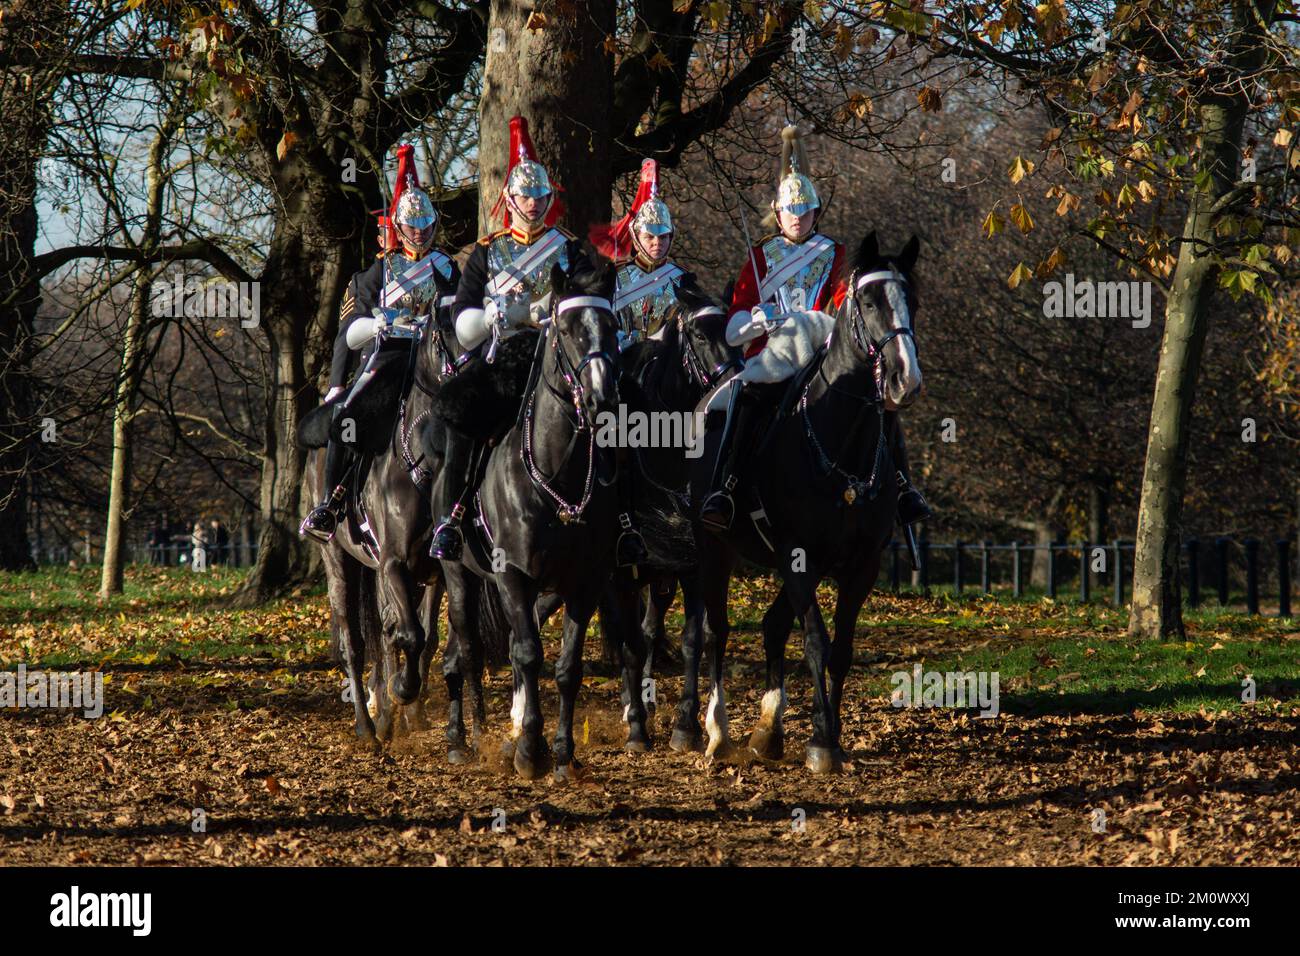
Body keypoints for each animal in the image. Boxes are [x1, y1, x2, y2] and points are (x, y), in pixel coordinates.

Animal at [436, 251, 650, 780]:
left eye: (612, 327)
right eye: (569, 328)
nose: (602, 400)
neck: (559, 475)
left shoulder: (585, 581)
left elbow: (567, 667)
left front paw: (562, 753)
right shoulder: (513, 574)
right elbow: (529, 655)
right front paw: (529, 750)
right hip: (459, 575)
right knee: (467, 649)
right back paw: (462, 737)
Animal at [681, 230, 925, 770]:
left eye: (912, 301)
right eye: (869, 301)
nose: (905, 380)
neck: (841, 442)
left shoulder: (860, 566)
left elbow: (841, 650)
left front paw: (827, 733)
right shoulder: (798, 557)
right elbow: (815, 641)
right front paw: (821, 743)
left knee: (771, 626)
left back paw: (768, 730)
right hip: (713, 550)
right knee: (714, 631)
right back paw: (712, 730)